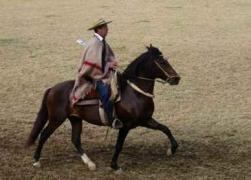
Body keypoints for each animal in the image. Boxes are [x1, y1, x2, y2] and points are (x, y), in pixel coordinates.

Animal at [26, 45, 180, 172]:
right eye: (162, 62)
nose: (176, 78)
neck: (134, 92)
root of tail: (52, 88)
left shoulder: (145, 120)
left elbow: (165, 128)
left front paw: (172, 149)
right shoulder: (126, 125)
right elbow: (119, 145)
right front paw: (115, 166)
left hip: (75, 119)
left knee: (75, 139)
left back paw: (90, 164)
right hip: (56, 119)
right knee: (44, 135)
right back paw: (36, 160)